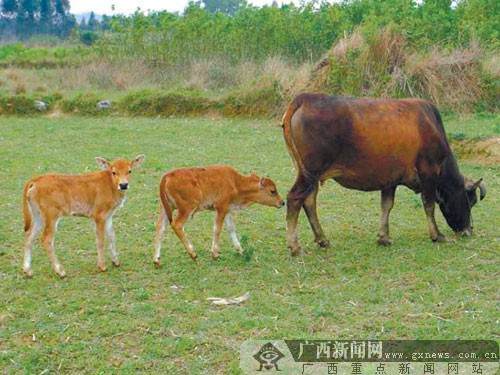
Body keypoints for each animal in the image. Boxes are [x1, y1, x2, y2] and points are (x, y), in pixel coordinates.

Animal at [152, 166, 286, 266]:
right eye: (273, 191)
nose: (282, 202)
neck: (235, 182)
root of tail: (167, 176)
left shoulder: (227, 210)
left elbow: (231, 228)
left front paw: (240, 250)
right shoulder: (221, 208)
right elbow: (217, 229)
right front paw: (215, 254)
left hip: (166, 208)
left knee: (160, 228)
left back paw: (157, 261)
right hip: (186, 209)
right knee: (177, 225)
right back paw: (193, 254)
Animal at [284, 93, 486, 256]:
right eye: (471, 201)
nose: (468, 230)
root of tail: (306, 97)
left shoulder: (390, 179)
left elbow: (387, 206)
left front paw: (384, 237)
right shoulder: (429, 171)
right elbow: (428, 204)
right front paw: (436, 235)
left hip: (309, 175)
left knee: (309, 201)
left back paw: (322, 239)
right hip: (310, 173)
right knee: (295, 199)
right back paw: (295, 246)